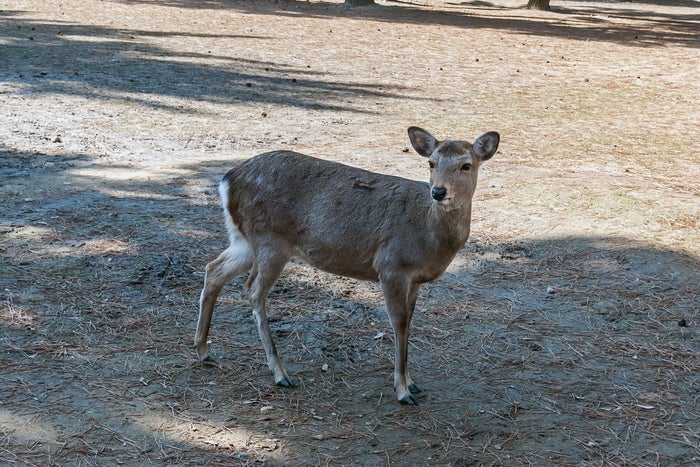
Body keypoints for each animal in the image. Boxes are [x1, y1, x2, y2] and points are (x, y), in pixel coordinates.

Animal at [194, 126, 500, 404]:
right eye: (431, 163)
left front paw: (412, 382)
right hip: (271, 240)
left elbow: (410, 321)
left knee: (214, 269)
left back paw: (203, 350)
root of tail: (228, 180)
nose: (438, 191)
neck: (428, 236)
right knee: (253, 290)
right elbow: (399, 323)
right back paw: (280, 373)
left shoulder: (414, 280)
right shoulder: (391, 266)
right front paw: (402, 390)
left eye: (466, 165)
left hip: (245, 239)